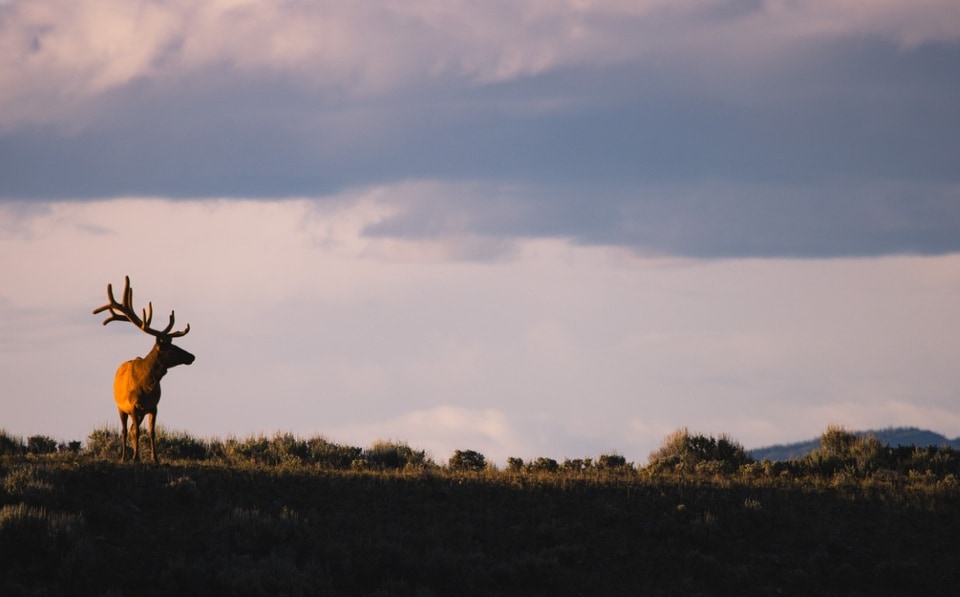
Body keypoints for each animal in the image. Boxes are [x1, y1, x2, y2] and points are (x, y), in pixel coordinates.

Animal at [93, 276, 195, 464]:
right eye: (171, 348)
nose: (192, 356)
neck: (146, 385)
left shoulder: (153, 407)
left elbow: (152, 432)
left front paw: (155, 459)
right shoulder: (133, 406)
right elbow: (137, 432)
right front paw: (135, 458)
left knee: (133, 428)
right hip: (120, 407)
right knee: (125, 431)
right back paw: (124, 457)